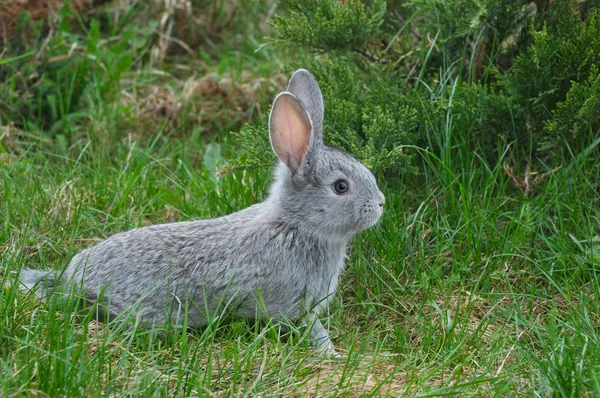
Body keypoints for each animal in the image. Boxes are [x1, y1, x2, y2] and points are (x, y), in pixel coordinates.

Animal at [18, 68, 386, 354]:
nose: (381, 203)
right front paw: (331, 352)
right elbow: (309, 327)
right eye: (341, 187)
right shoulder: (290, 304)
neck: (296, 224)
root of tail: (70, 280)